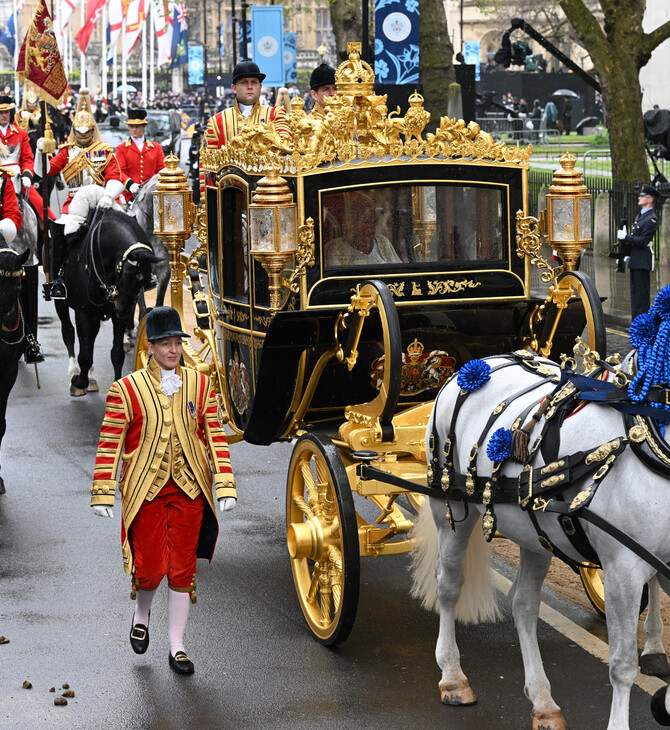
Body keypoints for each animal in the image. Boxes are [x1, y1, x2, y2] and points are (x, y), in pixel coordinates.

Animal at [54, 208, 160, 396]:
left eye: (144, 279)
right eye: (127, 275)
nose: (123, 310)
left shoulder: (115, 317)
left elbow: (116, 354)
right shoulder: (84, 312)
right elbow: (84, 355)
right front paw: (78, 380)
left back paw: (90, 377)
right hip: (62, 304)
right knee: (68, 333)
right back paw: (75, 373)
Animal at [412, 348, 670, 728]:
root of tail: (473, 365)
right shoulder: (623, 569)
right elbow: (623, 664)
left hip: (536, 534)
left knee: (523, 604)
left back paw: (542, 700)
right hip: (452, 507)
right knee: (448, 584)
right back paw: (453, 675)